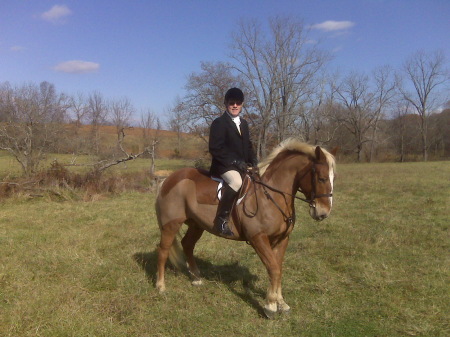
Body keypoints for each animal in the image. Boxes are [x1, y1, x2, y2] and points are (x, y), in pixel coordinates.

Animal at [156, 137, 336, 318]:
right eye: (321, 178)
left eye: (333, 178)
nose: (323, 213)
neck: (271, 196)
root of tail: (170, 179)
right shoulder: (258, 238)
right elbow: (273, 268)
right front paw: (270, 306)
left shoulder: (282, 239)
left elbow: (278, 268)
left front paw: (281, 303)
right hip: (171, 224)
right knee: (163, 250)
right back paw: (160, 286)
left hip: (196, 225)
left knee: (187, 245)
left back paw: (196, 278)